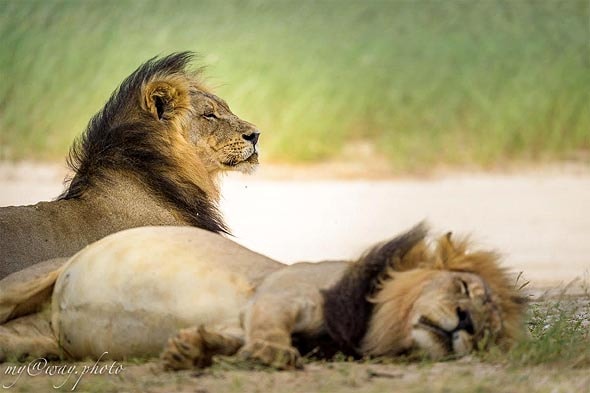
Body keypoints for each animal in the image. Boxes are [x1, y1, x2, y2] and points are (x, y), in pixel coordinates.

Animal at [0, 222, 528, 366]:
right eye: (462, 287)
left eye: (487, 333)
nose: (466, 322)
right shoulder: (280, 290)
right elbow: (272, 327)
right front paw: (273, 355)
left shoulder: (245, 322)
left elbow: (230, 340)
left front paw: (191, 350)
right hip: (26, 283)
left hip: (39, 342)